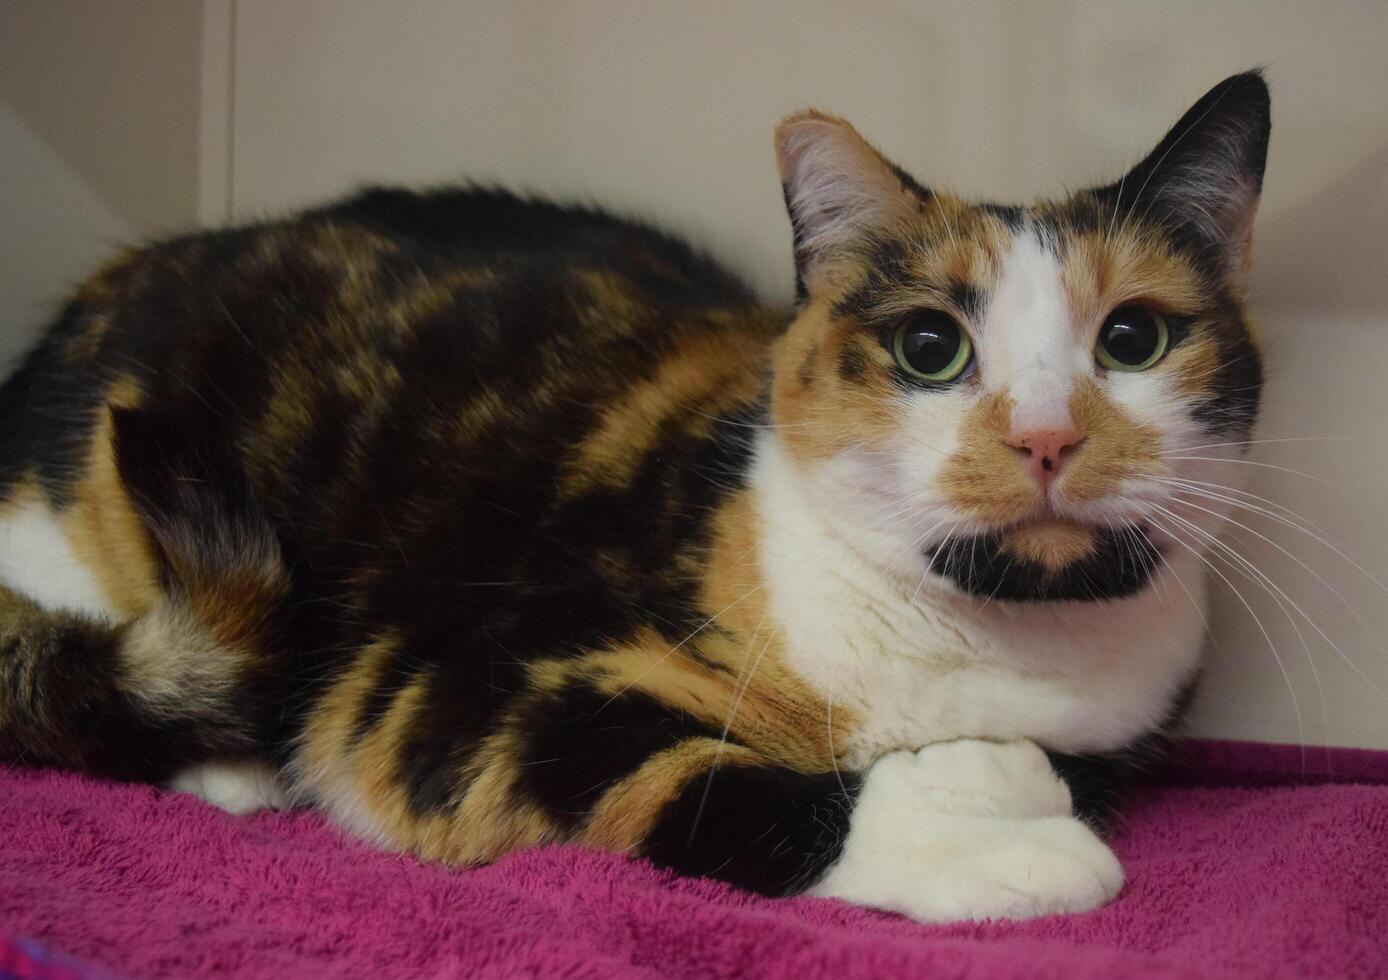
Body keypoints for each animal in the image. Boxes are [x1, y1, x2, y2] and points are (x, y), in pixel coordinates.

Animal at [0, 72, 1271, 921]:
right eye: (928, 346)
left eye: (1132, 337)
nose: (1045, 435)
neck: (987, 631)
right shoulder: (464, 692)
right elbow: (725, 786)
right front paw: (1000, 842)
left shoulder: (1120, 722)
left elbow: (1057, 762)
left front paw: (998, 777)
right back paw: (230, 765)